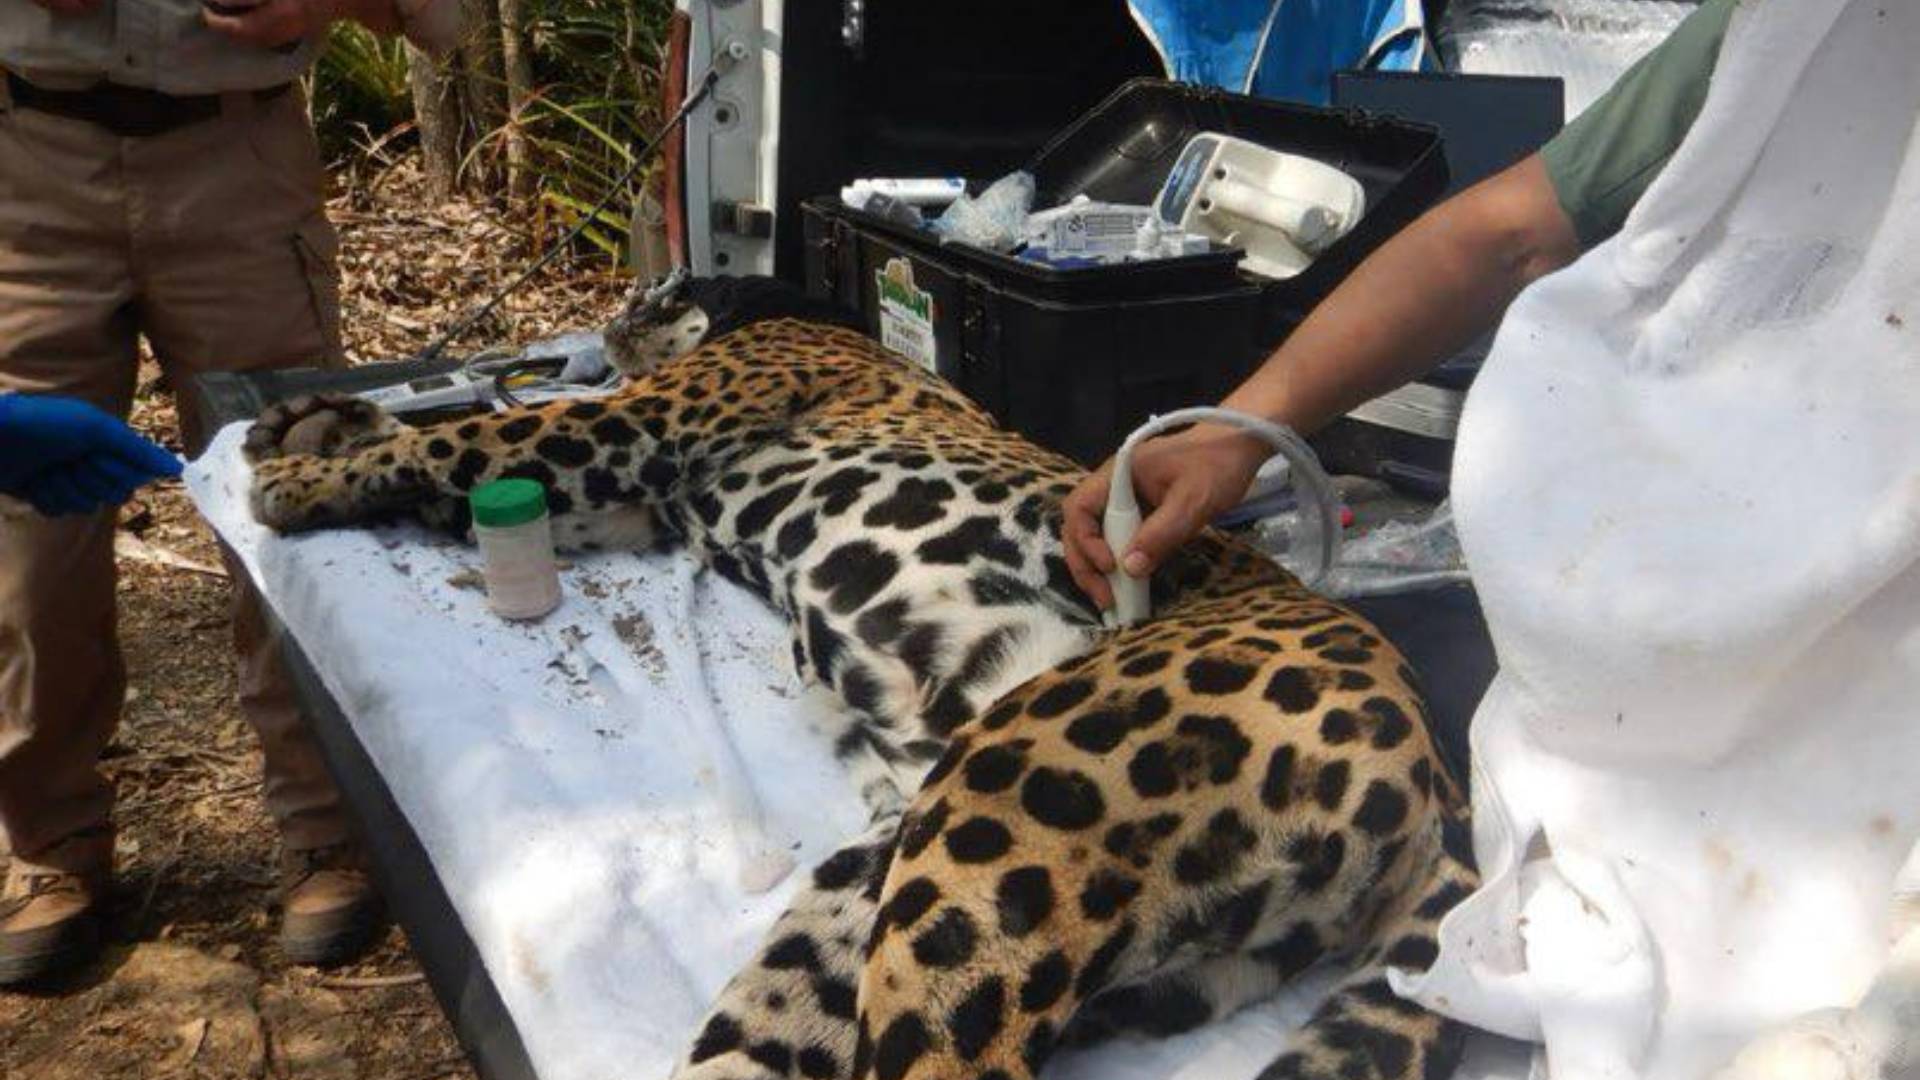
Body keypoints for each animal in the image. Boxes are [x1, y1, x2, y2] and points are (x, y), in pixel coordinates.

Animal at [241, 274, 1477, 1080]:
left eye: (659, 288)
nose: (613, 320)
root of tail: (1441, 778)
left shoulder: (628, 433)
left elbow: (457, 441)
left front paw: (301, 482)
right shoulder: (627, 501)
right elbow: (452, 451)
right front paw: (307, 423)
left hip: (1002, 828)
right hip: (898, 898)